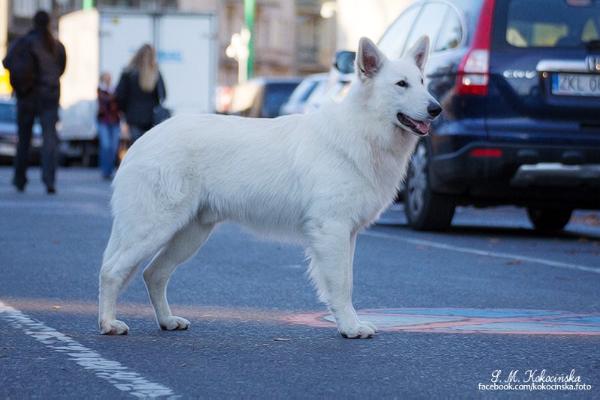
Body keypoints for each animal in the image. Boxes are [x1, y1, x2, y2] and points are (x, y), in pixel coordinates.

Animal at [99, 36, 440, 338]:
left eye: (423, 81)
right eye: (401, 84)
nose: (437, 109)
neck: (363, 128)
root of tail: (141, 141)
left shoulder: (347, 233)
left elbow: (346, 280)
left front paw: (348, 324)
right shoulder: (331, 229)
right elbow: (342, 285)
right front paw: (350, 328)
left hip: (189, 235)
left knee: (153, 274)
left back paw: (167, 321)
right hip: (153, 229)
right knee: (111, 271)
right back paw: (109, 324)